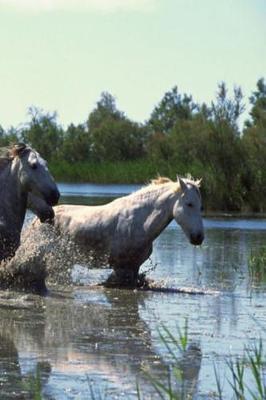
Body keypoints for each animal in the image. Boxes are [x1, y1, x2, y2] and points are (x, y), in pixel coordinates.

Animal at [43, 177, 204, 286]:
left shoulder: (134, 268)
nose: (198, 237)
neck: (141, 223)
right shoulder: (121, 269)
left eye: (201, 206)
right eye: (189, 204)